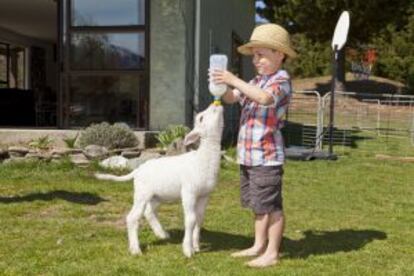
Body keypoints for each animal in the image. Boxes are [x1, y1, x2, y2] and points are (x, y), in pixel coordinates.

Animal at [94, 103, 223, 256]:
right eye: (201, 117)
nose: (216, 104)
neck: (202, 159)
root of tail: (138, 170)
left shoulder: (204, 195)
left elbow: (199, 218)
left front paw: (196, 246)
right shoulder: (189, 192)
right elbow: (190, 219)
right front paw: (188, 249)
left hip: (157, 196)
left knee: (149, 212)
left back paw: (162, 234)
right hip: (141, 193)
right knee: (133, 217)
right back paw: (135, 249)